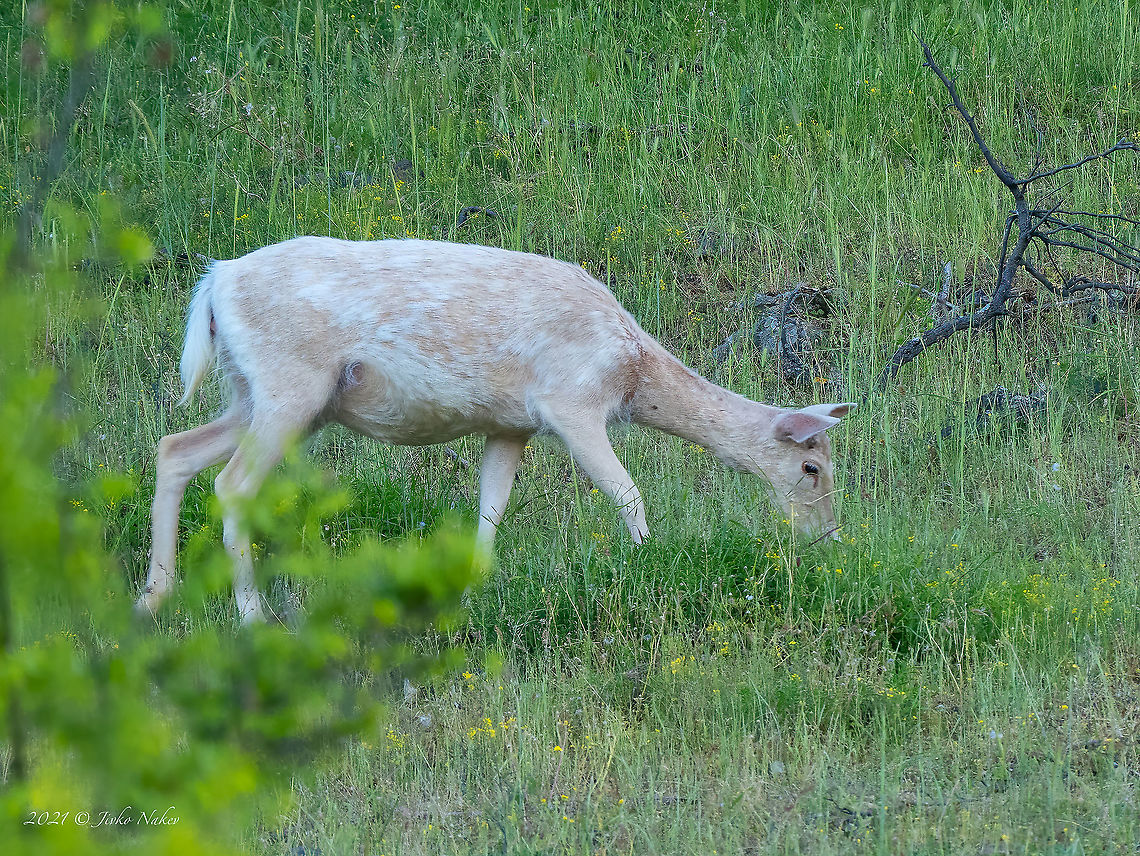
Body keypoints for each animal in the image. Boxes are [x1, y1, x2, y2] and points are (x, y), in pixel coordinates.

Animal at [137, 237, 855, 624]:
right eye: (812, 467)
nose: (827, 539)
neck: (630, 370)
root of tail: (214, 282)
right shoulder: (570, 402)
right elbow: (625, 490)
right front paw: (647, 559)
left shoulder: (512, 425)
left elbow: (491, 505)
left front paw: (475, 584)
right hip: (290, 386)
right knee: (232, 484)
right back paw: (252, 616)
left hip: (258, 394)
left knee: (174, 449)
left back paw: (154, 596)